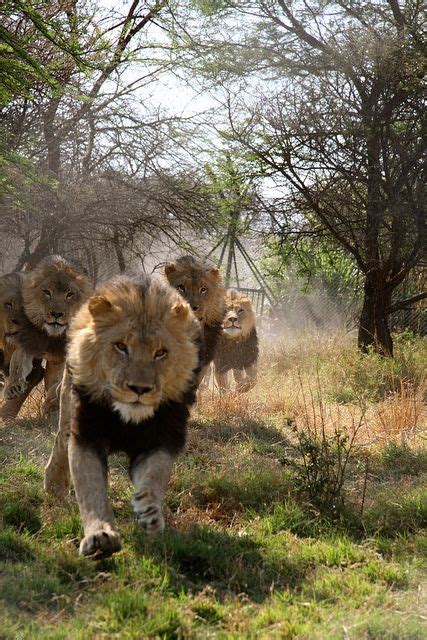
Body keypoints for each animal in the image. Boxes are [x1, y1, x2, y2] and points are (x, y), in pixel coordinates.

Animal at [3, 255, 92, 416]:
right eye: (47, 292)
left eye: (69, 294)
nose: (56, 314)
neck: (54, 336)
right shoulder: (30, 342)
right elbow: (17, 361)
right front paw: (13, 387)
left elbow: (60, 384)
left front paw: (51, 403)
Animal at [44, 272, 203, 556]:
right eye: (121, 347)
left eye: (160, 352)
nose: (139, 389)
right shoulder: (87, 433)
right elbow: (91, 490)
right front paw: (99, 536)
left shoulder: (160, 438)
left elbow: (155, 473)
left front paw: (149, 509)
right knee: (61, 441)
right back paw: (54, 485)